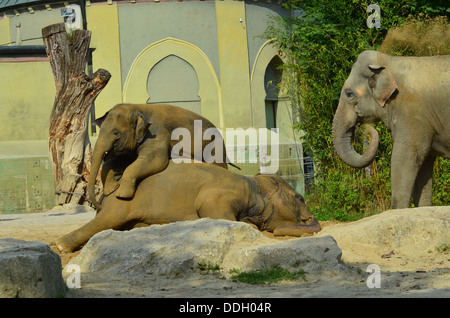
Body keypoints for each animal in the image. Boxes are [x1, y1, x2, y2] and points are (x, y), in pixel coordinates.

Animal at [56, 159, 322, 253]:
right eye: (300, 199)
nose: (310, 219)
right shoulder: (224, 194)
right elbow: (211, 208)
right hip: (121, 205)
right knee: (105, 221)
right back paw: (61, 246)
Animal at [85, 103, 237, 210]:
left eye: (116, 133)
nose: (99, 206)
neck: (137, 107)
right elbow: (125, 161)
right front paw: (111, 189)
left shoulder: (157, 133)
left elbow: (154, 161)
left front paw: (121, 195)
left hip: (215, 148)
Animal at [330, 50, 450, 209]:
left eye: (349, 94)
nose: (366, 129)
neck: (389, 60)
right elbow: (423, 166)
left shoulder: (412, 115)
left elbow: (404, 159)